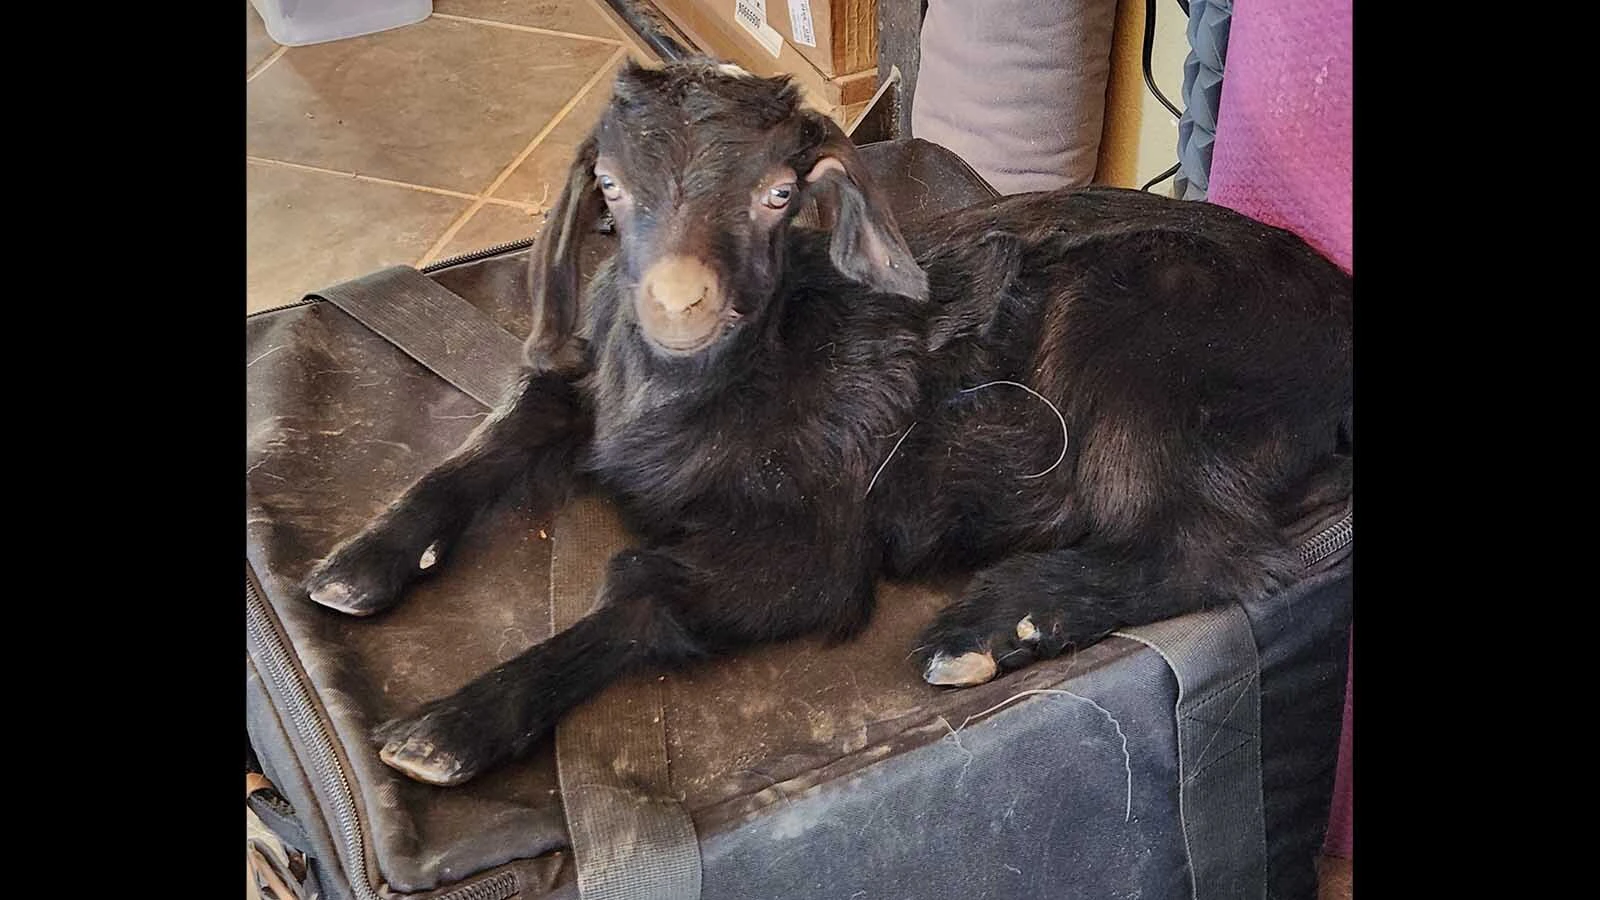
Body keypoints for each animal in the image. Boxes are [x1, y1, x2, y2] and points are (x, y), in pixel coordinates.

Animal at [304, 60, 1353, 787]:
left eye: (778, 193)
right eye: (610, 187)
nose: (676, 301)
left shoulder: (817, 546)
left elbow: (646, 588)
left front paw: (454, 725)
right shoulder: (580, 392)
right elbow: (489, 441)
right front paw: (361, 561)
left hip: (1138, 341)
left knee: (1213, 548)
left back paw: (990, 625)